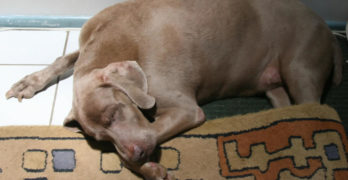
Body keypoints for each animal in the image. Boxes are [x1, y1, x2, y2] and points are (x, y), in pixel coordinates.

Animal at [5, 0, 342, 179]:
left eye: (115, 113)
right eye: (100, 138)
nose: (139, 152)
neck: (119, 40)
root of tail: (327, 29)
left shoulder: (184, 110)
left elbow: (143, 142)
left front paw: (148, 168)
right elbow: (63, 58)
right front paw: (29, 82)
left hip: (300, 67)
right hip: (277, 88)